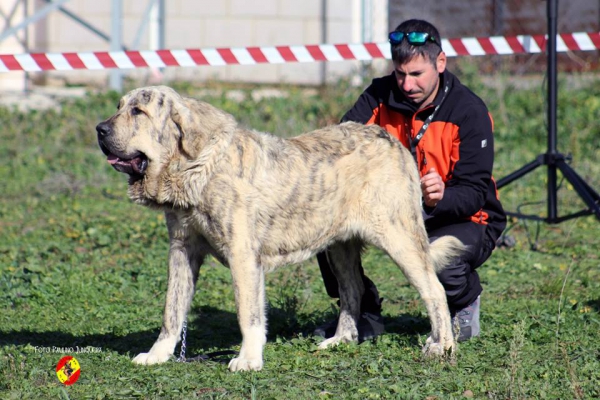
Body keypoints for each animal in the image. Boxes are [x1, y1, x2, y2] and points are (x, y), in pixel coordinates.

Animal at [97, 85, 464, 372]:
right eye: (119, 107)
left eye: (138, 111)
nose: (100, 129)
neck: (193, 166)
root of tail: (392, 140)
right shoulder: (181, 250)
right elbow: (171, 311)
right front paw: (157, 355)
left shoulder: (243, 257)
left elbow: (248, 314)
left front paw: (248, 360)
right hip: (339, 248)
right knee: (353, 290)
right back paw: (340, 340)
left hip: (399, 238)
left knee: (434, 289)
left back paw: (441, 346)